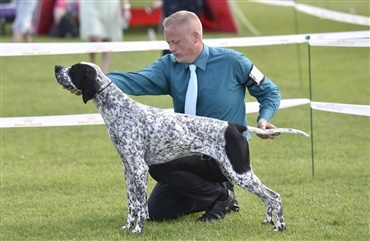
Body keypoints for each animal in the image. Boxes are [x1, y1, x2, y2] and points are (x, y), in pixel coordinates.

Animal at [52, 61, 306, 233]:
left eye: (73, 69)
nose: (56, 67)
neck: (119, 110)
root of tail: (235, 126)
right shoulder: (128, 168)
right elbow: (131, 204)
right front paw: (127, 227)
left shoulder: (139, 168)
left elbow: (141, 206)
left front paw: (138, 230)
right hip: (234, 171)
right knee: (266, 197)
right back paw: (268, 220)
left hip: (239, 171)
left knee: (274, 196)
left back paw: (280, 226)